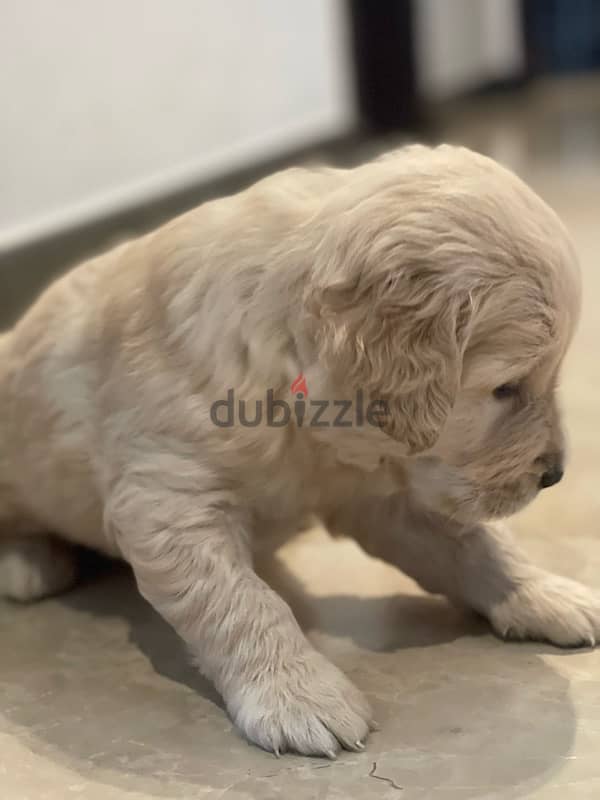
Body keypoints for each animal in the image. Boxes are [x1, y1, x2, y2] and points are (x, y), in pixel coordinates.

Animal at [0, 145, 596, 756]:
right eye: (505, 388)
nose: (554, 474)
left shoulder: (384, 491)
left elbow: (474, 543)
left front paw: (544, 593)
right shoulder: (168, 495)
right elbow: (236, 598)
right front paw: (298, 694)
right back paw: (28, 563)